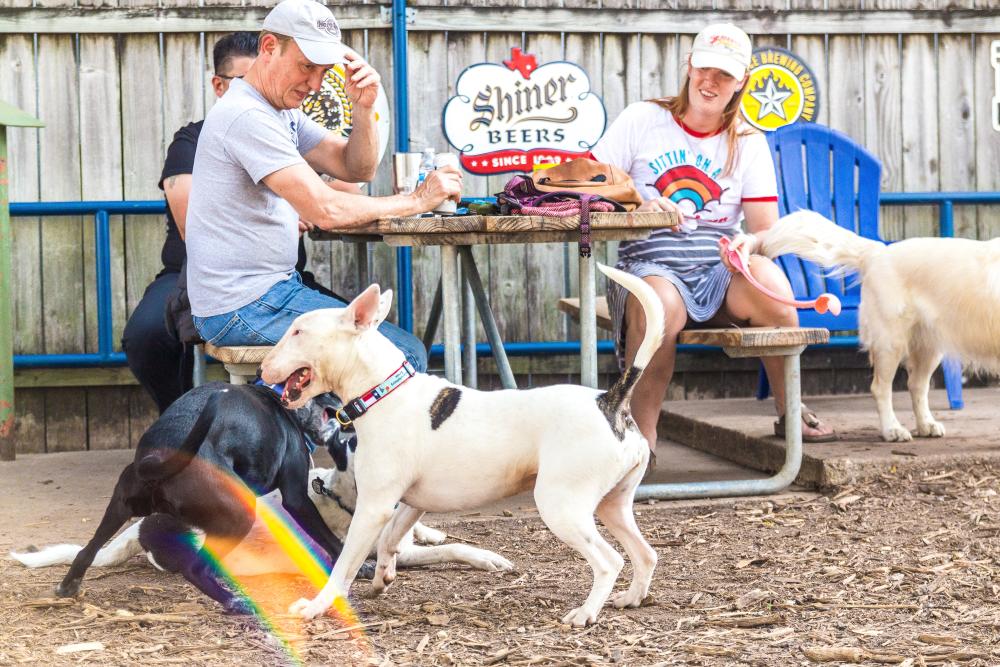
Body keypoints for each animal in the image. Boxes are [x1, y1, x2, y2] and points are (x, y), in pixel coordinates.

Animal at [56, 384, 352, 612]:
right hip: (239, 516)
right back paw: (234, 602)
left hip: (120, 507)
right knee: (195, 569)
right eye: (332, 392)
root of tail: (157, 459)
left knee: (86, 551)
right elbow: (332, 541)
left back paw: (68, 586)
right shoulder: (296, 498)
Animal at [262, 262, 664, 628]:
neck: (385, 392)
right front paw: (382, 577)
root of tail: (610, 400)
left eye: (297, 331)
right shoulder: (410, 504)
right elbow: (391, 539)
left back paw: (585, 613)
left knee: (610, 561)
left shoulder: (373, 507)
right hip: (614, 505)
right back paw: (631, 598)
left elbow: (344, 564)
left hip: (561, 506)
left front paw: (317, 606)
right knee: (646, 554)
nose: (264, 366)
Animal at [756, 214, 1000, 440]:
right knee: (881, 388)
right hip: (890, 341)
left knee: (917, 385)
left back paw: (926, 425)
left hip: (928, 347)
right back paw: (892, 429)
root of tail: (878, 253)